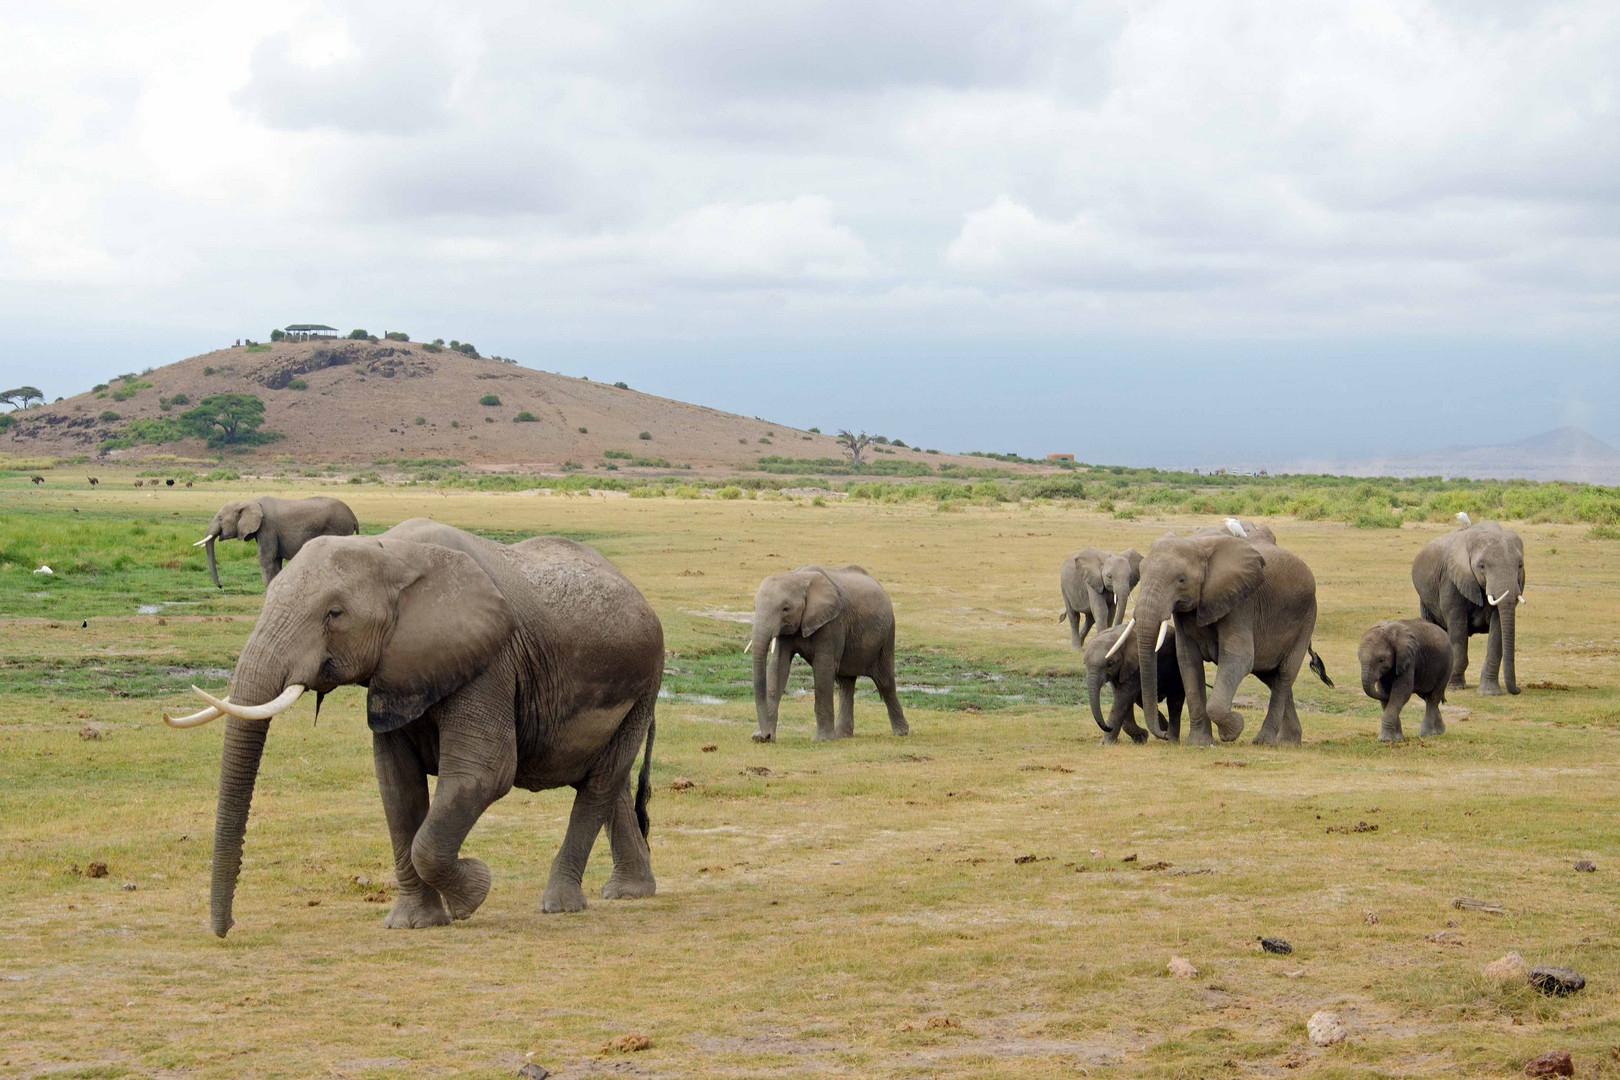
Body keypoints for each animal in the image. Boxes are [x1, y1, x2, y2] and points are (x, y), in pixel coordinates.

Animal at [161, 518, 667, 939]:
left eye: (334, 614)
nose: (226, 930)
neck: (392, 553)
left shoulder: (490, 663)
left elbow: (483, 775)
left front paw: (474, 892)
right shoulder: (397, 668)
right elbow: (397, 786)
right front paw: (415, 924)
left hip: (645, 681)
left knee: (601, 782)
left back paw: (561, 905)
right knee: (609, 782)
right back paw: (629, 893)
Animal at [194, 495, 359, 586]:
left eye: (220, 519)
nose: (221, 587)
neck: (249, 502)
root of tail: (354, 517)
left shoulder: (267, 528)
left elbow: (266, 558)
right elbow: (276, 561)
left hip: (339, 528)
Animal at [748, 566, 907, 744]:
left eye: (785, 608)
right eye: (755, 607)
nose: (765, 735)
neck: (799, 577)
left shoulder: (831, 623)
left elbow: (823, 667)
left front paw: (821, 740)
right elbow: (778, 666)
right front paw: (760, 738)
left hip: (887, 635)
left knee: (884, 681)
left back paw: (901, 732)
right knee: (845, 684)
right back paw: (842, 735)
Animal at [1127, 531, 1328, 744]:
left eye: (1181, 580)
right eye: (1140, 573)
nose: (1164, 735)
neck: (1197, 545)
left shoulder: (1241, 603)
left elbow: (1238, 658)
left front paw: (1232, 730)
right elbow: (1188, 660)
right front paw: (1200, 743)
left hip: (1307, 619)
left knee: (1285, 674)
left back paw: (1264, 741)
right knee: (1271, 677)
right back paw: (1288, 741)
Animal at [1412, 524, 1522, 702]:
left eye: (1520, 566)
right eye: (1482, 566)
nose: (1518, 690)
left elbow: (1498, 629)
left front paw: (1490, 692)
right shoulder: (1450, 580)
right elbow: (1458, 628)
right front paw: (1455, 687)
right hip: (1425, 599)